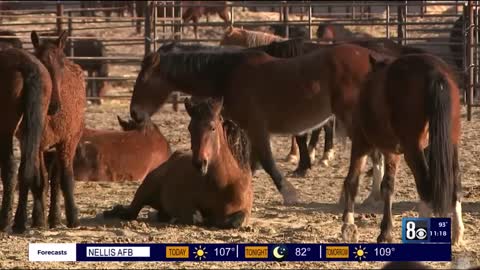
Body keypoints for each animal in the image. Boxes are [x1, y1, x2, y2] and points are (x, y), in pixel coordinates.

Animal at [0, 48, 59, 232]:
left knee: (11, 168)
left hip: (6, 129)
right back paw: (20, 222)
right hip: (30, 127)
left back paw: (5, 221)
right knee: (26, 169)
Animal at [29, 30, 86, 231]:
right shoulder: (37, 144)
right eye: (39, 62)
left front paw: (73, 219)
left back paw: (55, 218)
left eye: (61, 65)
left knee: (56, 180)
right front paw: (38, 220)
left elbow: (66, 180)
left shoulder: (68, 141)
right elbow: (40, 180)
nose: (55, 105)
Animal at [103, 97, 253, 228]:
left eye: (213, 128)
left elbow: (236, 220)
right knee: (131, 212)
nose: (199, 164)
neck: (223, 183)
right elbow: (196, 217)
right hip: (144, 191)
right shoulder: (186, 205)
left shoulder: (244, 211)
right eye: (190, 128)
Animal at [340, 52, 464, 247]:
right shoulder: (392, 151)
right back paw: (457, 233)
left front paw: (348, 225)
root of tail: (434, 71)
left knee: (425, 186)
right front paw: (385, 232)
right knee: (455, 184)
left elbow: (352, 181)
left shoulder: (362, 143)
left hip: (411, 150)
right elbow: (388, 186)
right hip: (449, 144)